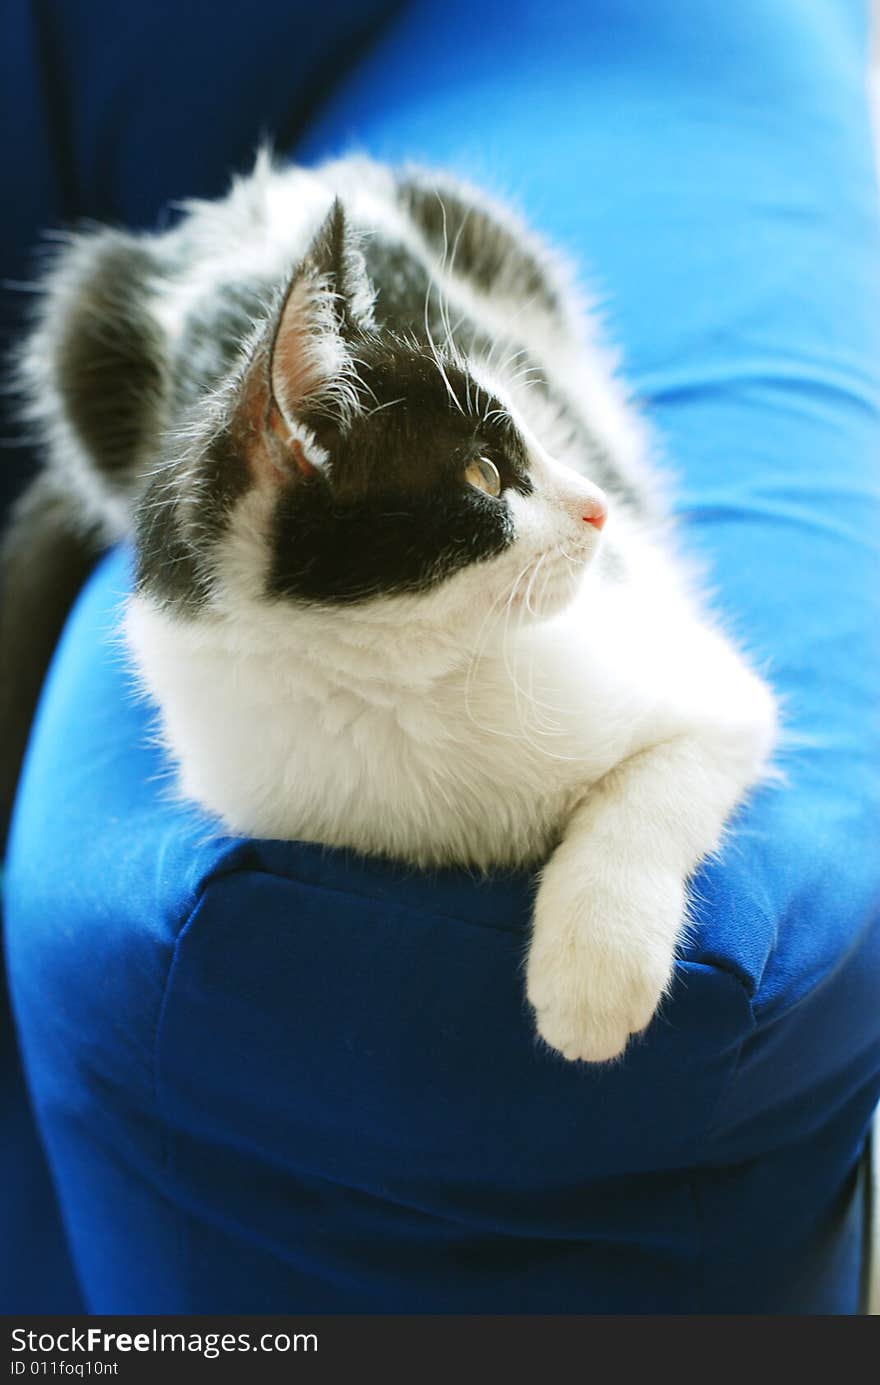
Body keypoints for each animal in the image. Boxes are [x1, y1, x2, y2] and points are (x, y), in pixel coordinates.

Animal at [5, 151, 776, 1058]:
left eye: (528, 432)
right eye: (483, 473)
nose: (599, 507)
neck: (403, 678)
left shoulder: (688, 675)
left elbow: (666, 772)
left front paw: (594, 965)